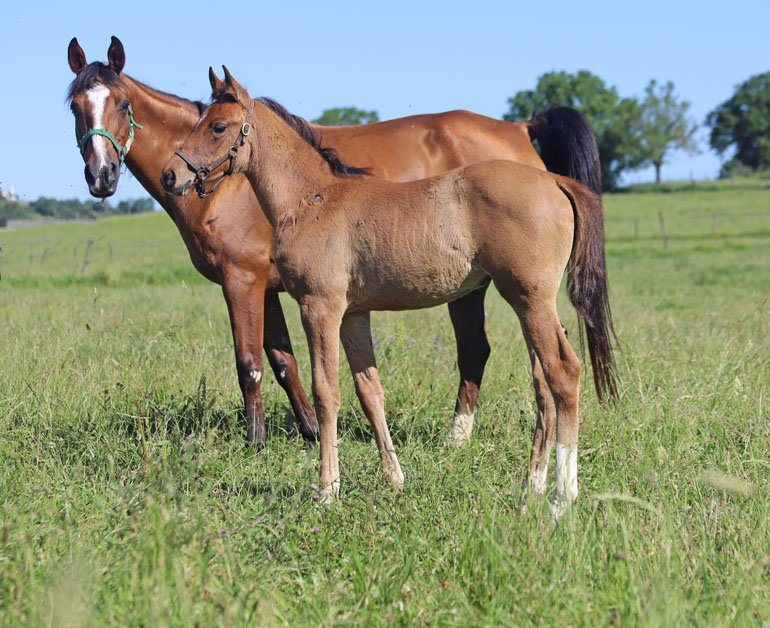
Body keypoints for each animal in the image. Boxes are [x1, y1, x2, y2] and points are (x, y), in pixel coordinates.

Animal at [67, 37, 605, 458]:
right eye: (74, 107)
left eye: (121, 103)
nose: (101, 176)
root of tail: (520, 128)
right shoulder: (272, 289)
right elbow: (284, 362)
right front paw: (308, 430)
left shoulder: (242, 280)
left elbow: (250, 363)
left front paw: (258, 443)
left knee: (486, 352)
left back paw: (462, 438)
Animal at [160, 68, 616, 516]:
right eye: (199, 120)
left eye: (218, 126)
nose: (171, 175)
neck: (313, 200)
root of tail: (555, 182)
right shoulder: (353, 315)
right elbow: (370, 392)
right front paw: (394, 478)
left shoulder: (319, 307)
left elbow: (326, 392)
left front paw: (327, 489)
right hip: (528, 304)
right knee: (542, 382)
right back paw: (531, 488)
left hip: (529, 299)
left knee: (563, 372)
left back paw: (562, 497)